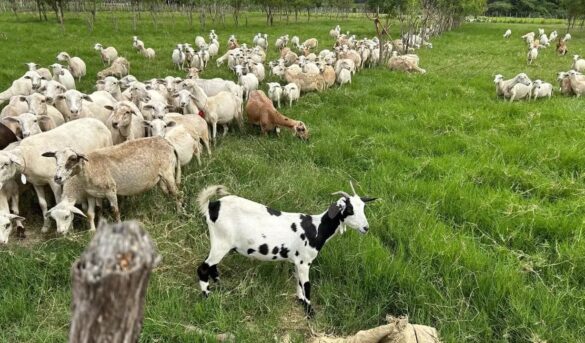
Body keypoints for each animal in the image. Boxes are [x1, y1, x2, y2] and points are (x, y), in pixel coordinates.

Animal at [42, 137, 180, 223]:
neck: (90, 168)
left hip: (168, 172)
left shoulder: (111, 191)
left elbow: (115, 211)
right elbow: (98, 210)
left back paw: (179, 212)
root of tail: (167, 143)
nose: (57, 178)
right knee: (167, 193)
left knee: (176, 193)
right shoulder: (94, 194)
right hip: (159, 178)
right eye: (55, 159)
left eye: (72, 159)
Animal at [194, 183, 376, 318]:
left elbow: (299, 282)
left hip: (219, 242)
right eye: (349, 210)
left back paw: (220, 286)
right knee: (203, 268)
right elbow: (307, 285)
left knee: (211, 266)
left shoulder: (297, 261)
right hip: (222, 241)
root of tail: (212, 205)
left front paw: (301, 300)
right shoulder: (304, 261)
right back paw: (208, 297)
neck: (316, 228)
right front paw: (310, 312)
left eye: (363, 208)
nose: (366, 228)